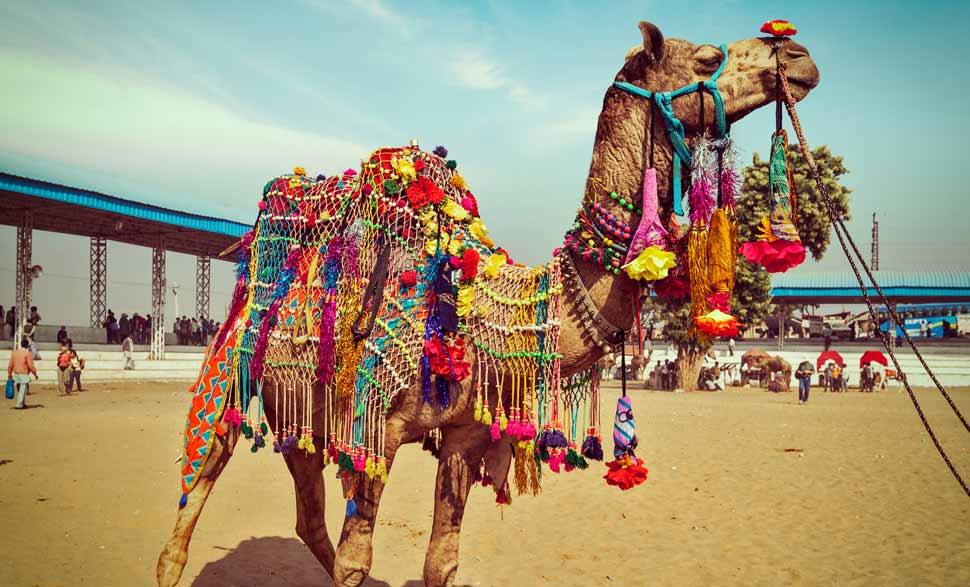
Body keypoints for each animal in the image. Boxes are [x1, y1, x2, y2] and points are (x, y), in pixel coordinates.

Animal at [158, 20, 818, 587]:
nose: (795, 54)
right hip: (229, 373)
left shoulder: (465, 436)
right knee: (196, 491)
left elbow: (440, 561)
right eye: (706, 57)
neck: (484, 305)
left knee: (306, 515)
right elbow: (355, 561)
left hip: (299, 412)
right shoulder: (378, 428)